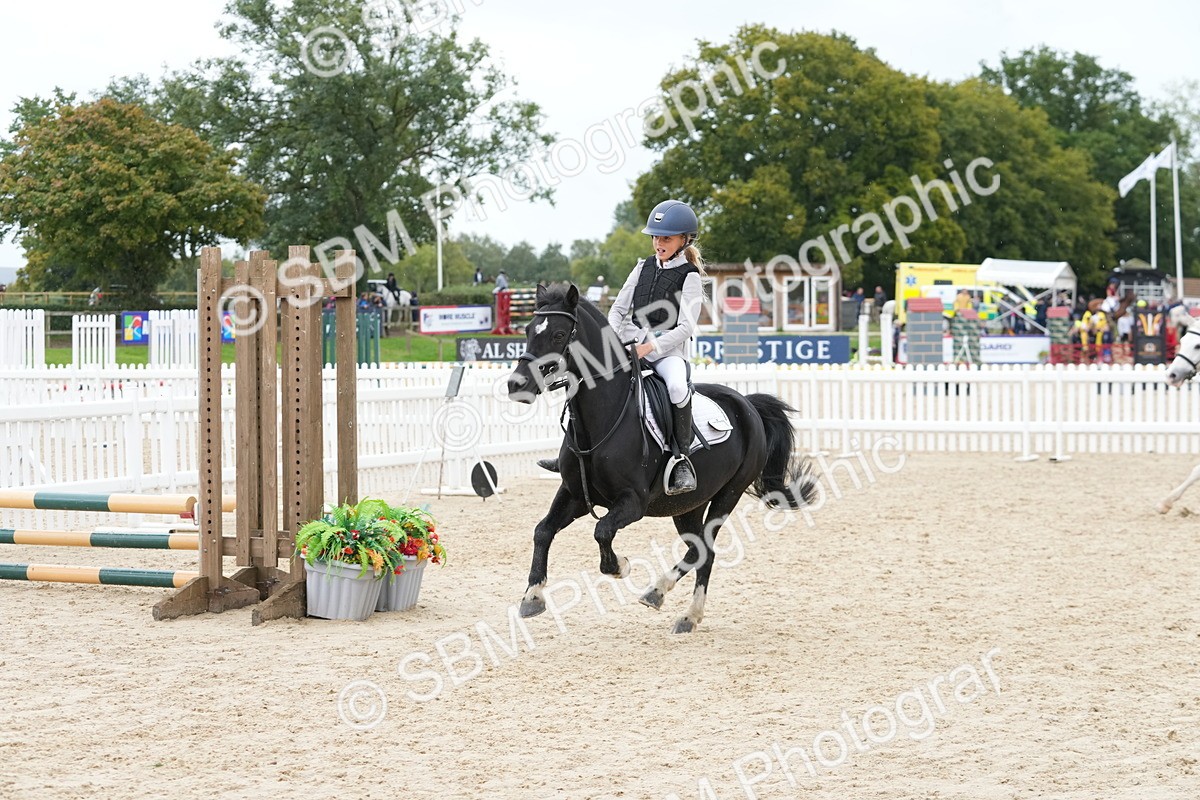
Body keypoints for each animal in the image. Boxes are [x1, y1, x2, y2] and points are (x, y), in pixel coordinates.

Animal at [505, 283, 817, 633]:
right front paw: (532, 597)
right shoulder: (574, 494)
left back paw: (673, 604)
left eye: (559, 335)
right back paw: (672, 604)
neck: (602, 420)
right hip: (688, 505)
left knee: (704, 548)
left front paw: (621, 567)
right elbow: (542, 531)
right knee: (700, 549)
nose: (517, 384)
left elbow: (602, 532)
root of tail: (747, 404)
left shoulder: (633, 503)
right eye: (529, 331)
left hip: (728, 494)